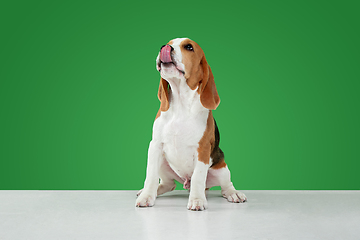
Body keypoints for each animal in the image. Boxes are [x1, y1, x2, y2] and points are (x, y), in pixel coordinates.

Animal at [135, 37, 248, 210]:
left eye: (189, 47)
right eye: (169, 43)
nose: (164, 47)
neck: (181, 104)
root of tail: (185, 181)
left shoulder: (203, 150)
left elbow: (198, 177)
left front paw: (197, 200)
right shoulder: (155, 146)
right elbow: (151, 176)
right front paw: (147, 196)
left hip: (221, 168)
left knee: (224, 185)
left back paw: (233, 194)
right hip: (163, 163)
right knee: (168, 184)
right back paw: (149, 191)